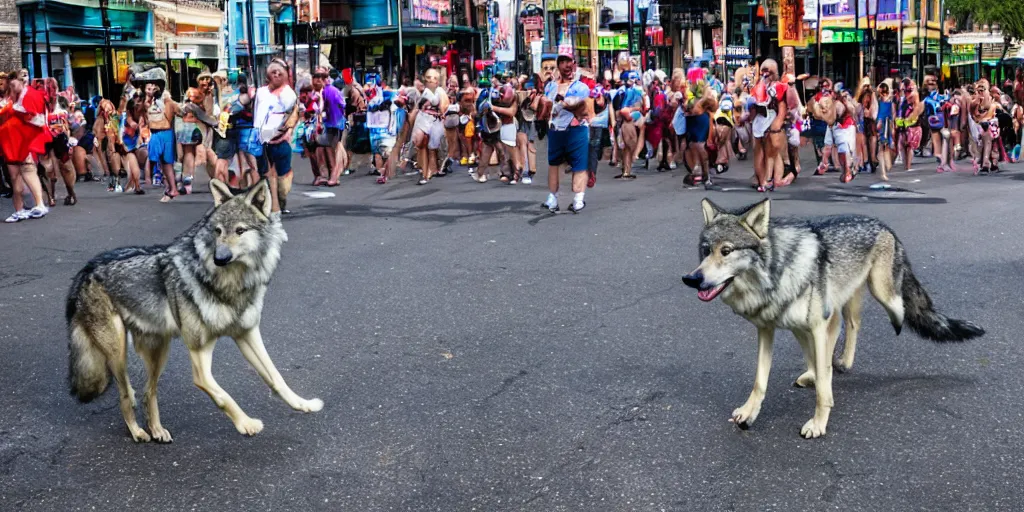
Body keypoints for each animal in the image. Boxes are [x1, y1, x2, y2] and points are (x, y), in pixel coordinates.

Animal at [66, 179, 321, 440]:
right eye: (218, 231)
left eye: (240, 231)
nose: (219, 258)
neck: (230, 283)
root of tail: (84, 271)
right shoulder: (199, 355)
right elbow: (221, 396)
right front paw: (246, 423)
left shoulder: (246, 333)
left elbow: (276, 376)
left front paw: (303, 404)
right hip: (119, 354)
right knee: (126, 394)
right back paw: (138, 432)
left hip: (159, 352)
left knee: (148, 392)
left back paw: (157, 430)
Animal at [679, 197, 983, 438]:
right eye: (705, 251)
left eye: (726, 251)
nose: (691, 279)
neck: (776, 273)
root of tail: (884, 226)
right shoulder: (769, 328)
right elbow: (760, 381)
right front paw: (749, 412)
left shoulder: (815, 324)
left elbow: (822, 390)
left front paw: (818, 423)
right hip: (817, 316)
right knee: (843, 328)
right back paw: (823, 370)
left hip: (881, 293)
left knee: (886, 313)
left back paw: (845, 361)